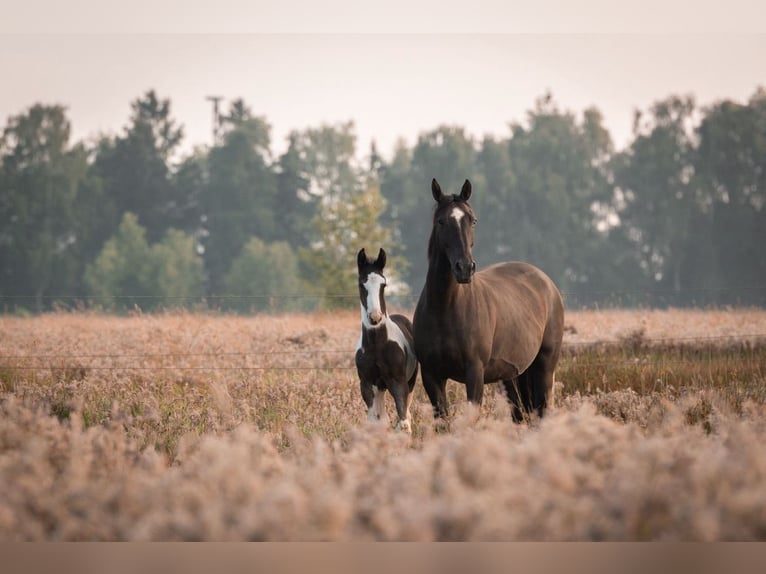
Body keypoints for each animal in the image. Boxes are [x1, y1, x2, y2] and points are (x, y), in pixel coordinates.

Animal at [356, 248, 420, 432]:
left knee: (407, 416)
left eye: (383, 284)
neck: (377, 344)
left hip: (410, 382)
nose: (375, 317)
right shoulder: (367, 384)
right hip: (380, 388)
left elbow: (403, 420)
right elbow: (375, 421)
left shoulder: (398, 383)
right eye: (361, 284)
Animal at [414, 178, 564, 420]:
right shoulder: (431, 376)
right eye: (441, 221)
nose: (465, 268)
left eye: (472, 220)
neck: (445, 308)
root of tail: (548, 284)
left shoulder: (475, 372)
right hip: (513, 376)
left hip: (544, 367)